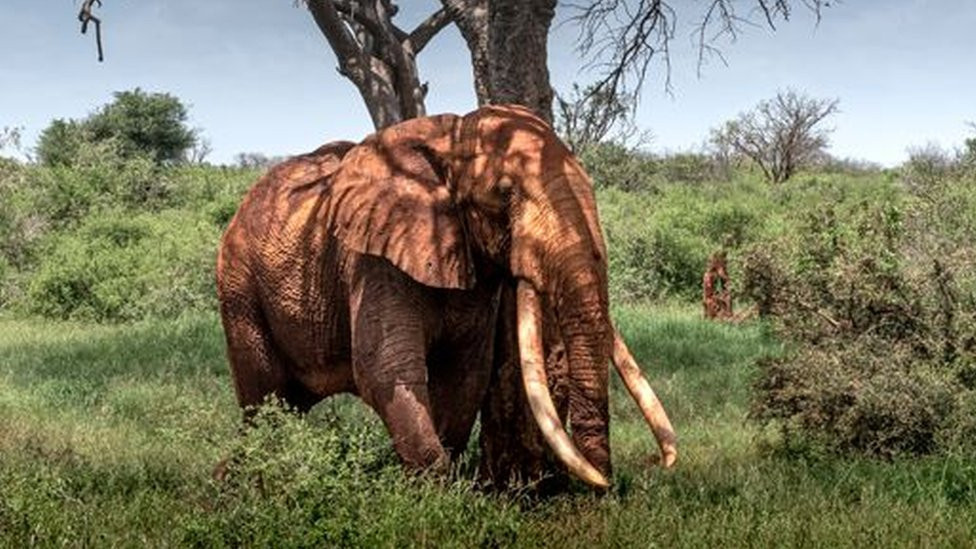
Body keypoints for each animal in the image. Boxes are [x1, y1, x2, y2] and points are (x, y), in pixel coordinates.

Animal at [216, 105, 676, 488]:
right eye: (504, 195)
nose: (606, 486)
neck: (452, 137)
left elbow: (465, 375)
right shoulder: (373, 258)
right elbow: (385, 370)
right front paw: (435, 497)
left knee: (289, 403)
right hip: (239, 285)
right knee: (264, 398)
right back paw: (250, 483)